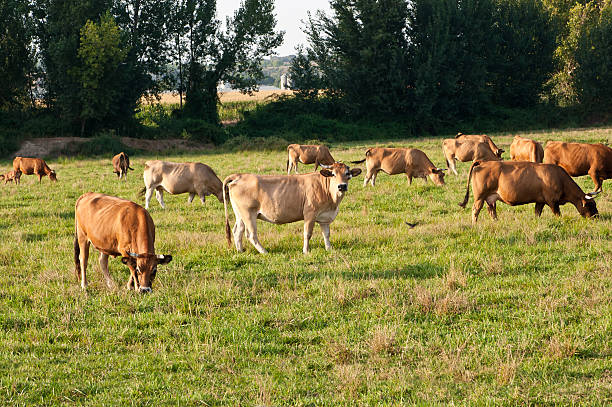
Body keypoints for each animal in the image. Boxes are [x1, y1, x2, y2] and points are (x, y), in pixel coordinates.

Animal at [222, 162, 360, 252]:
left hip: (240, 215)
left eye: (348, 174)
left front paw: (329, 249)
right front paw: (306, 251)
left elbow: (326, 234)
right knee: (251, 234)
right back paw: (264, 252)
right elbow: (307, 233)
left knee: (237, 231)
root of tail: (240, 175)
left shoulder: (324, 217)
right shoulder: (310, 214)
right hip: (248, 214)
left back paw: (240, 251)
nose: (342, 186)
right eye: (333, 174)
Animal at [460, 160, 596, 225]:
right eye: (590, 205)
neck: (560, 178)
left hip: (490, 198)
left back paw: (496, 222)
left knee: (492, 211)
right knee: (476, 210)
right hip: (480, 197)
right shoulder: (552, 201)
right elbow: (558, 214)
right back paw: (475, 224)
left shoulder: (540, 201)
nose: (596, 217)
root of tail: (483, 162)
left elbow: (537, 213)